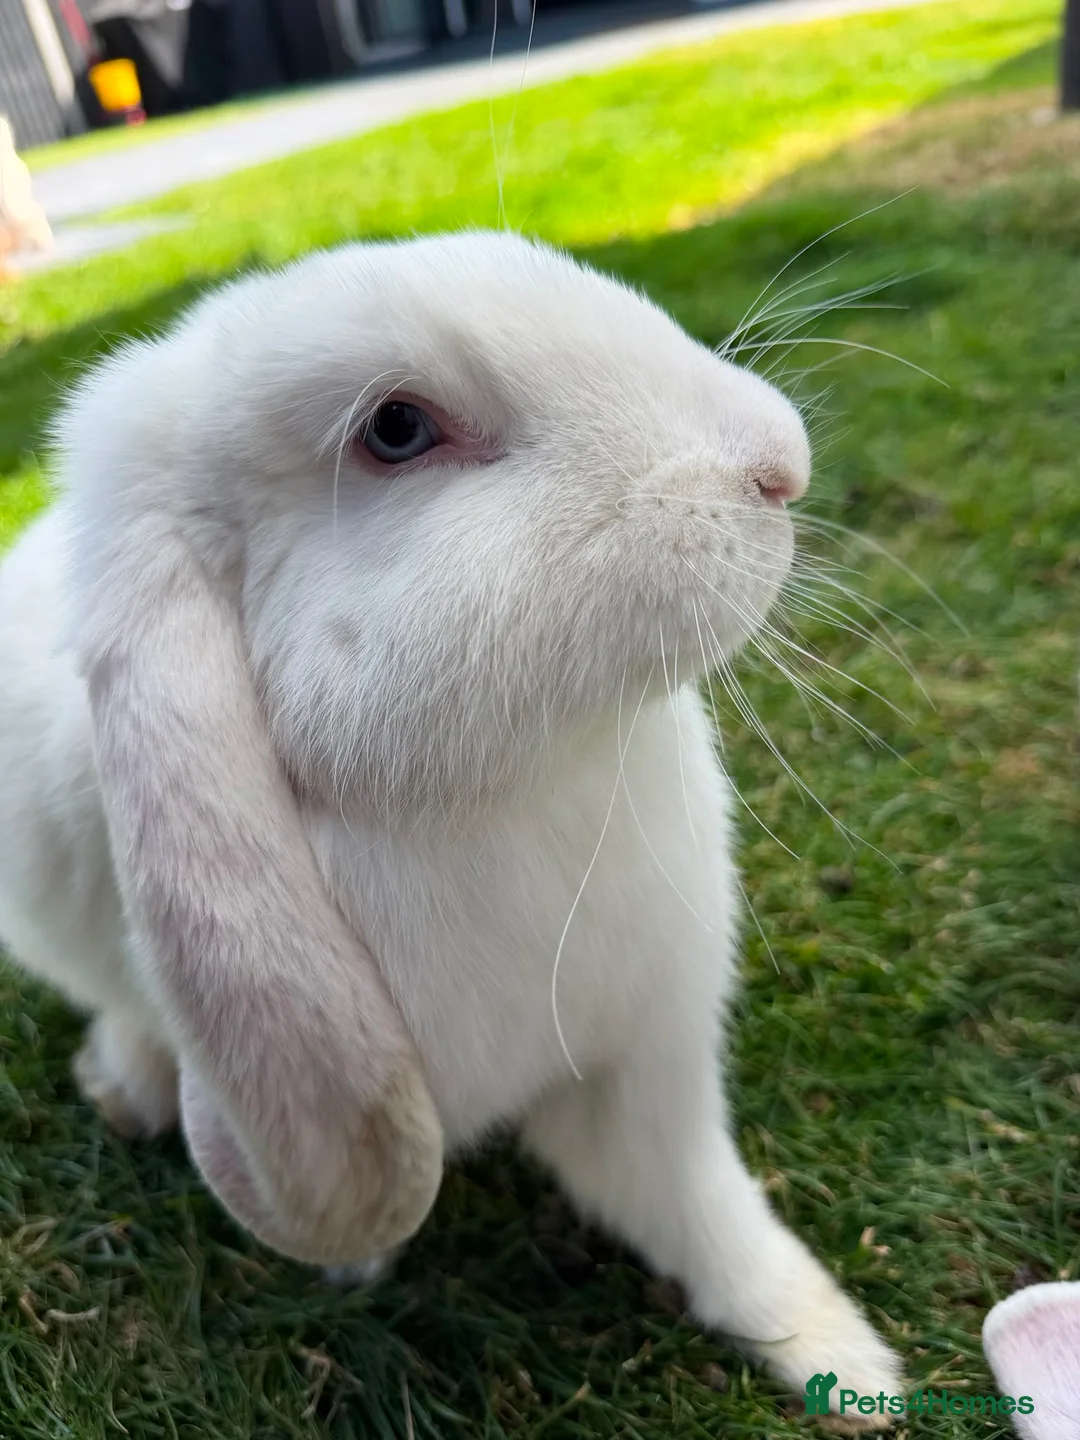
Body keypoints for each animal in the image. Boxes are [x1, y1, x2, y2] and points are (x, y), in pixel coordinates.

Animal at [0, 229, 902, 1415]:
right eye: (397, 429)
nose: (780, 463)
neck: (511, 795)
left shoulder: (643, 1065)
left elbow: (704, 1215)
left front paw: (848, 1364)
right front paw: (357, 1262)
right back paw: (128, 1086)